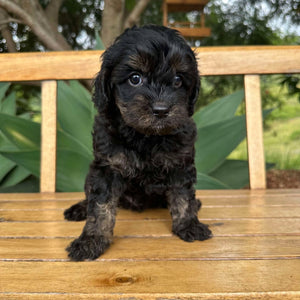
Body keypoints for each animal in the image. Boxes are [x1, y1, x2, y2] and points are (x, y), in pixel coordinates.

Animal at [64, 25, 212, 260]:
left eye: (178, 80)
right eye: (135, 79)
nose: (161, 110)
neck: (145, 136)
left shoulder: (180, 163)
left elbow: (183, 196)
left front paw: (189, 225)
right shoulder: (107, 167)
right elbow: (99, 206)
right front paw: (91, 240)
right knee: (88, 195)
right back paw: (79, 208)